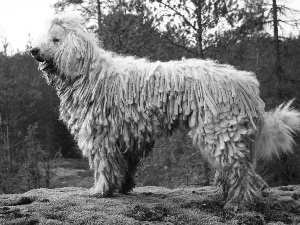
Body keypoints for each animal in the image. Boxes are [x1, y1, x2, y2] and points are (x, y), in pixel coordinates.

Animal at [29, 14, 300, 207]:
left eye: (55, 40)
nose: (33, 50)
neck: (89, 75)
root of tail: (247, 84)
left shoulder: (100, 135)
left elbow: (104, 165)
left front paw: (100, 190)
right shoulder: (126, 136)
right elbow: (124, 165)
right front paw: (122, 187)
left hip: (220, 128)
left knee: (239, 169)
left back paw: (238, 202)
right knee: (239, 168)